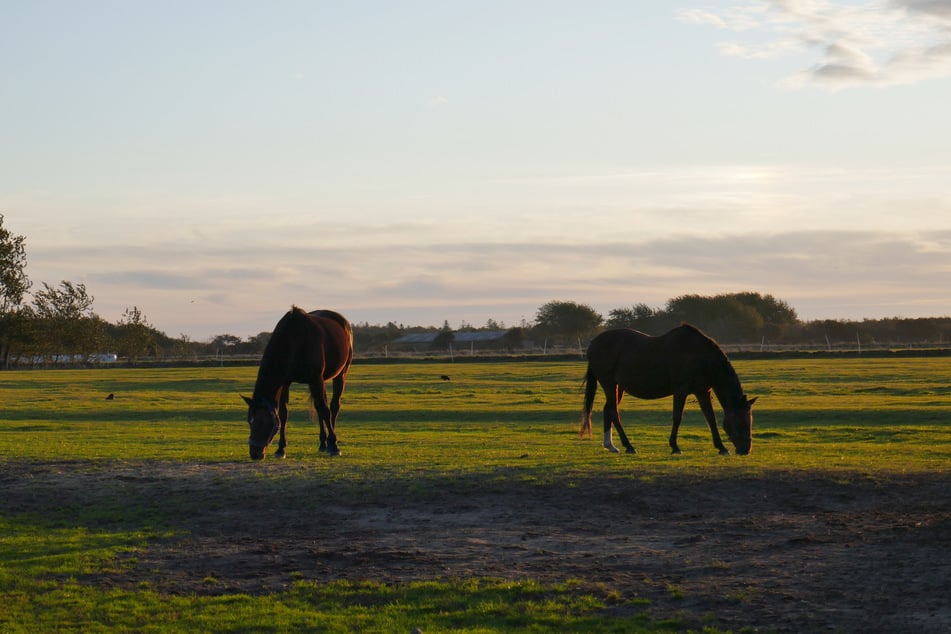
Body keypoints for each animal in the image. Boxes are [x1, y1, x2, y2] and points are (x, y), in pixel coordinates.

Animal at [242, 308, 354, 460]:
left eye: (262, 421)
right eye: (249, 421)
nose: (254, 453)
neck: (294, 340)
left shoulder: (316, 379)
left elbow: (325, 410)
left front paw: (334, 446)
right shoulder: (286, 383)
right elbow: (283, 413)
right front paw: (281, 449)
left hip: (339, 375)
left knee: (333, 407)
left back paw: (331, 442)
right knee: (319, 408)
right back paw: (323, 443)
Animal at [580, 326, 760, 454]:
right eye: (741, 421)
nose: (746, 450)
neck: (699, 356)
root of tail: (593, 344)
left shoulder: (703, 392)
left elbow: (711, 419)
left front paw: (722, 448)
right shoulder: (681, 391)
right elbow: (677, 417)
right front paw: (675, 447)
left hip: (618, 387)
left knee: (608, 410)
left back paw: (610, 445)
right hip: (609, 384)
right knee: (613, 412)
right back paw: (628, 446)